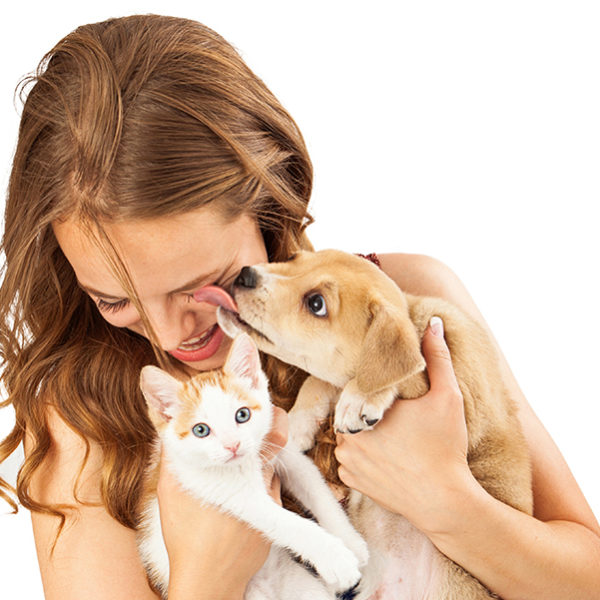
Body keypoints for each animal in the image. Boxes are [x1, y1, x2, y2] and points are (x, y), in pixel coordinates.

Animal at [138, 336, 368, 596]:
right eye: (201, 430)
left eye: (242, 415)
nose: (233, 445)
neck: (245, 464)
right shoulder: (226, 492)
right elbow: (285, 521)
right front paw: (336, 559)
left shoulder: (285, 454)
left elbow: (319, 494)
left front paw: (352, 543)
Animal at [218, 248, 532, 600]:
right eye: (295, 258)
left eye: (316, 303)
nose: (245, 274)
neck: (414, 317)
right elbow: (319, 381)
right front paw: (299, 423)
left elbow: (390, 374)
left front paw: (360, 398)